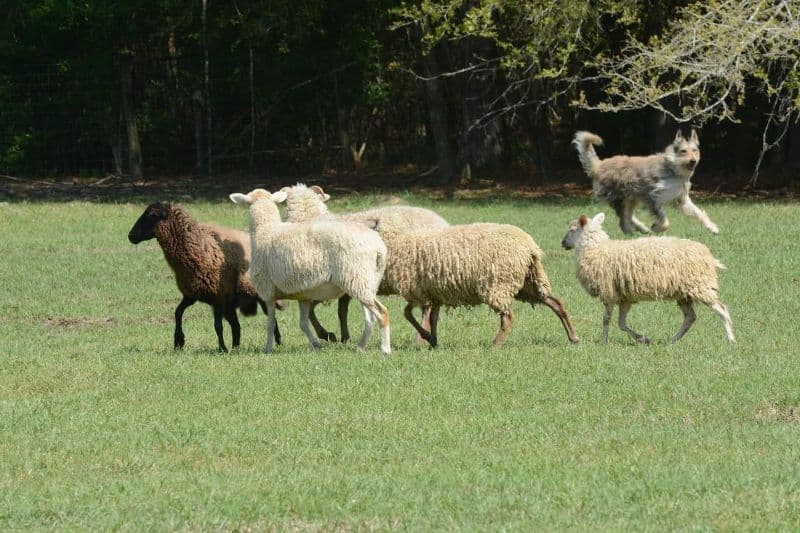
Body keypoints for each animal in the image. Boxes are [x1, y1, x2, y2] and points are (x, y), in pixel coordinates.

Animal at [127, 202, 280, 352]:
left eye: (152, 215)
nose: (130, 236)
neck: (199, 247)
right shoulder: (191, 295)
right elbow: (177, 313)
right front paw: (178, 341)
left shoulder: (218, 297)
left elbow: (217, 326)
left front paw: (222, 348)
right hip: (230, 305)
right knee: (236, 326)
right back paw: (236, 348)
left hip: (259, 295)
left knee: (271, 318)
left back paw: (277, 342)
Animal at [229, 188, 391, 354]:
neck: (265, 231)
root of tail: (378, 247)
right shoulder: (303, 295)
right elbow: (303, 323)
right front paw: (317, 344)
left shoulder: (268, 292)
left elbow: (270, 324)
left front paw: (268, 349)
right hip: (366, 281)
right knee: (370, 318)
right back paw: (360, 347)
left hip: (357, 279)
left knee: (382, 313)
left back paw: (385, 349)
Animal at [280, 183, 450, 343]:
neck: (309, 217)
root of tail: (443, 224)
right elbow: (340, 310)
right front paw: (343, 337)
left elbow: (314, 311)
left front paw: (327, 335)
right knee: (431, 308)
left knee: (427, 308)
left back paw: (421, 338)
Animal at [560, 212, 735, 343]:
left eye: (573, 229)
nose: (563, 243)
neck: (595, 249)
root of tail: (709, 256)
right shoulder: (625, 298)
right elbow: (621, 324)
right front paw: (643, 339)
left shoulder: (609, 292)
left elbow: (606, 320)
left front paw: (604, 342)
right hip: (684, 293)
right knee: (690, 318)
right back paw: (672, 340)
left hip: (700, 285)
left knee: (722, 309)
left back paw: (731, 339)